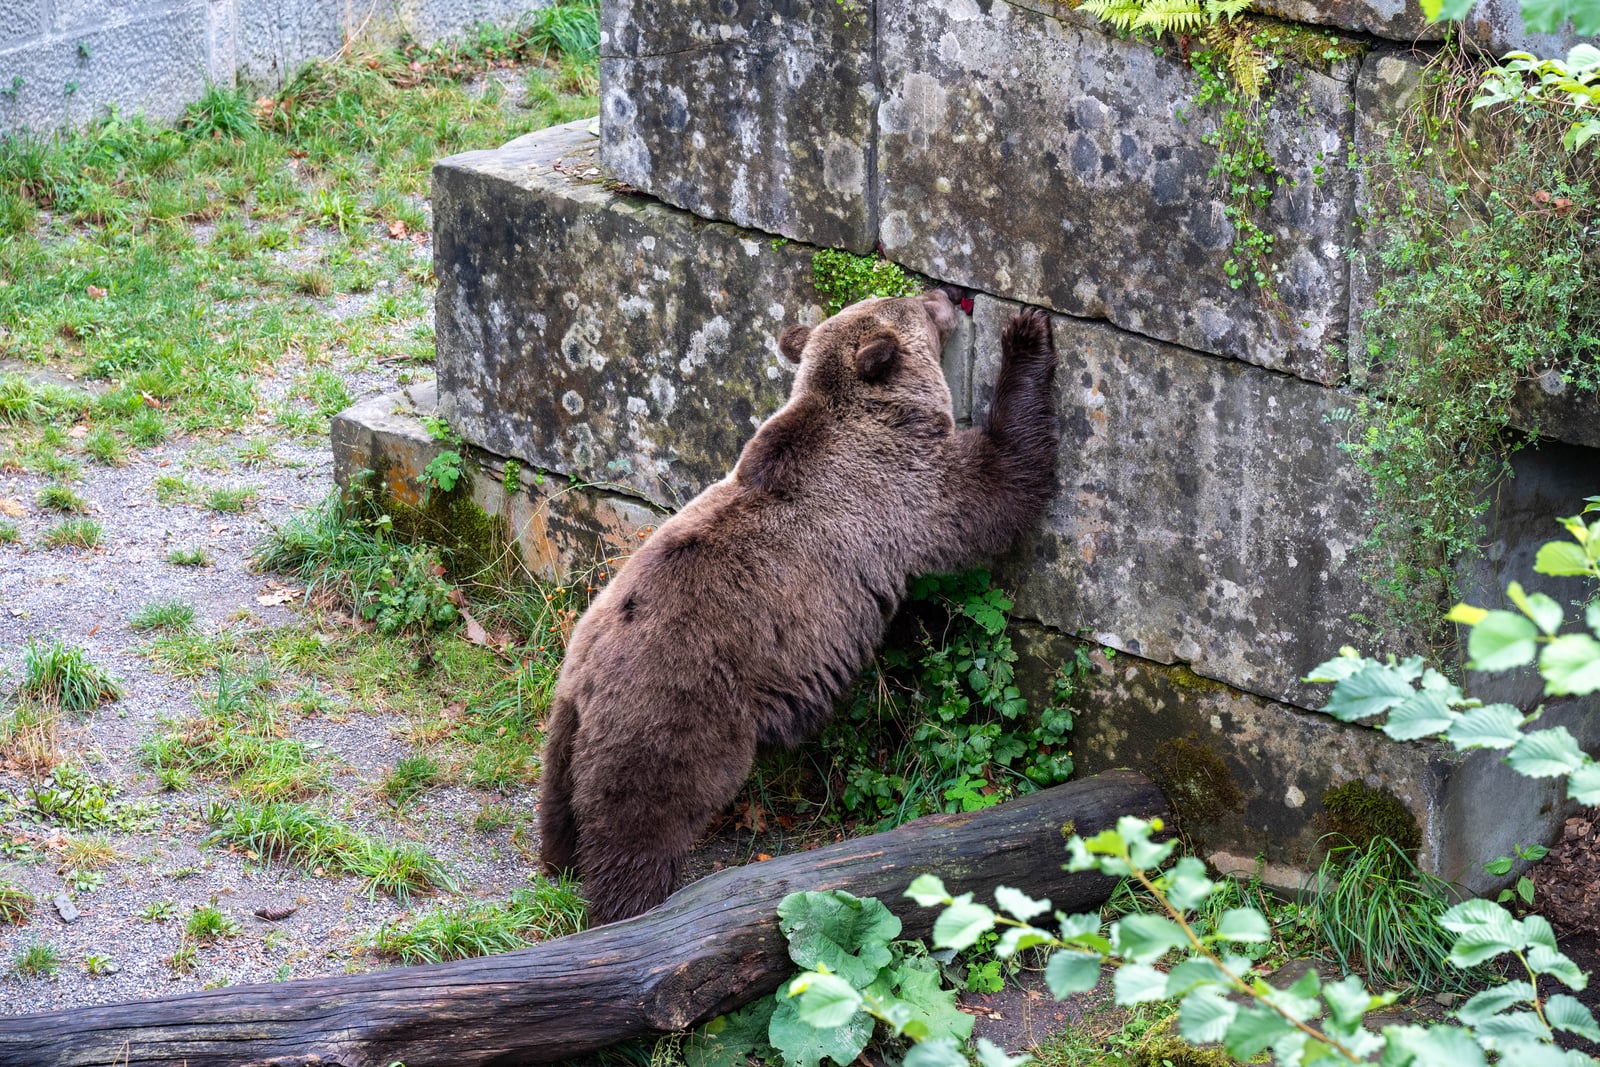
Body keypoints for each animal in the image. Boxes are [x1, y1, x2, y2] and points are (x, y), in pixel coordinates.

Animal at [537, 290, 1059, 925]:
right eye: (911, 303)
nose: (942, 296)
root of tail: (588, 673)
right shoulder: (905, 489)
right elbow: (1000, 485)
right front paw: (1027, 334)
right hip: (675, 714)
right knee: (640, 819)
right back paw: (630, 907)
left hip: (568, 711)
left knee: (559, 795)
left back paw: (560, 860)